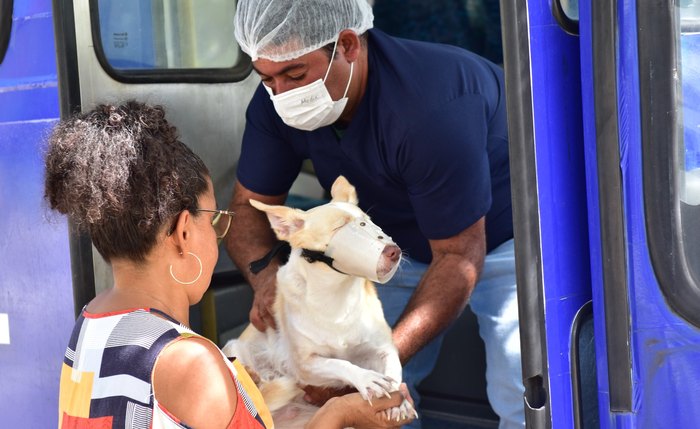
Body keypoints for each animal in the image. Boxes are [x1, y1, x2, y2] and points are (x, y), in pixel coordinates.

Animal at [226, 176, 416, 426]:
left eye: (370, 223)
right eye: (338, 228)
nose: (394, 251)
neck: (336, 299)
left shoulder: (385, 348)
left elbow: (394, 372)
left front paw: (399, 402)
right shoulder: (306, 365)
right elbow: (339, 363)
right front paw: (365, 378)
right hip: (234, 346)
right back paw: (257, 377)